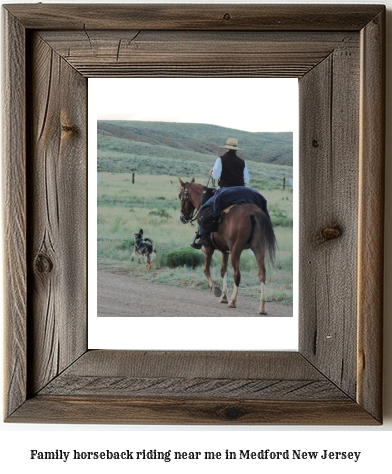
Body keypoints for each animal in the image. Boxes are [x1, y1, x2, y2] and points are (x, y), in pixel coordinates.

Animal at [179, 178, 278, 314]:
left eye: (180, 196)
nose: (182, 217)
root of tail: (253, 212)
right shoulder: (225, 251)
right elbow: (223, 271)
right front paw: (223, 296)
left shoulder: (209, 249)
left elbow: (206, 269)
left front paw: (216, 289)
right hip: (259, 250)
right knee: (262, 274)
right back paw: (262, 307)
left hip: (236, 250)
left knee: (237, 274)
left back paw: (232, 301)